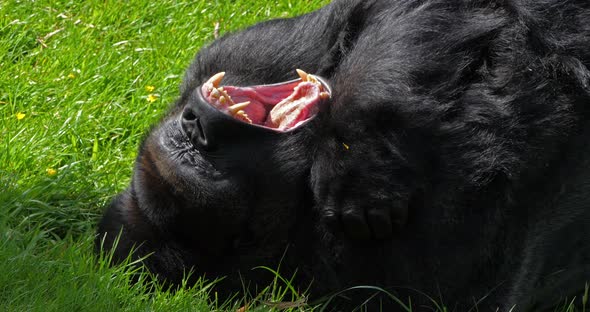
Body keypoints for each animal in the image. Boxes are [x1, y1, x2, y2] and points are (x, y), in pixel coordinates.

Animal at [96, 1, 590, 310]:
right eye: (201, 162)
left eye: (191, 145)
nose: (194, 128)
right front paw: (363, 158)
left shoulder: (267, 48)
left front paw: (360, 138)